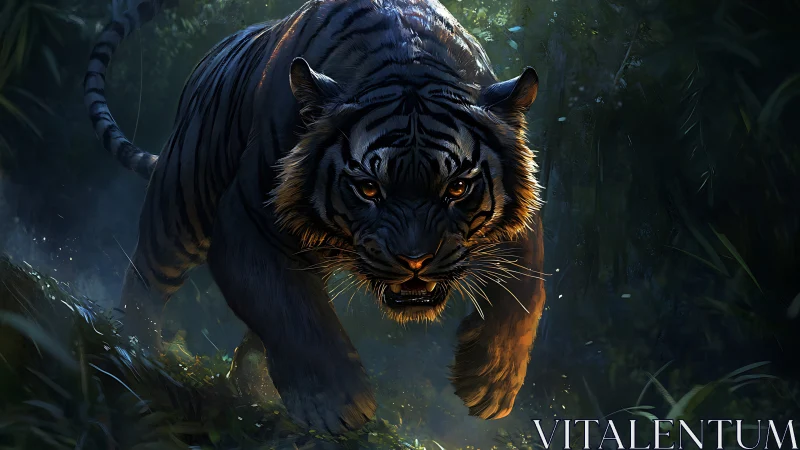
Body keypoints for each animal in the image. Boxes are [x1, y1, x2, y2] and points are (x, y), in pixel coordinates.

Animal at [84, 0, 547, 434]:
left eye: (457, 187)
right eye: (368, 188)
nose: (415, 260)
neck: (409, 58)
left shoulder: (520, 226)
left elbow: (525, 295)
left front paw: (490, 382)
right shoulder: (249, 222)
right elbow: (292, 315)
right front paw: (336, 404)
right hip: (180, 204)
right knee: (146, 280)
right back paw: (136, 352)